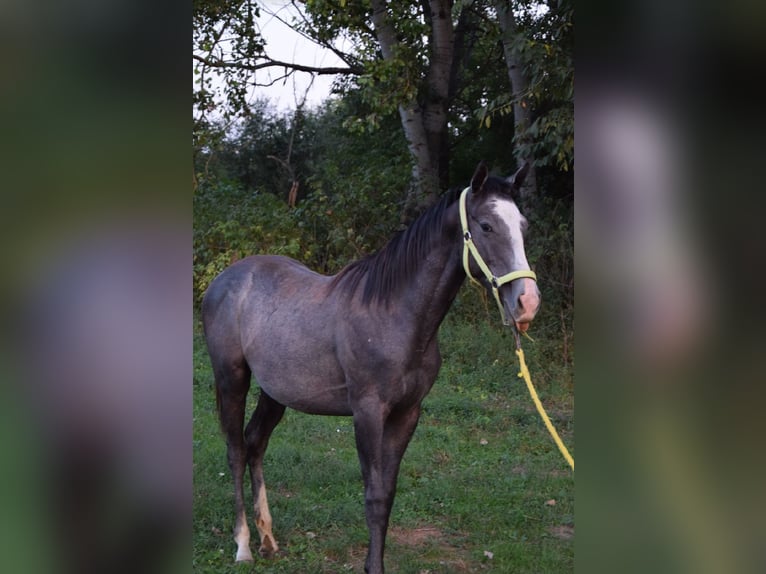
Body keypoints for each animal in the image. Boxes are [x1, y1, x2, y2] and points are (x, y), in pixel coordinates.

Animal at [201, 160, 544, 572]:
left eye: (523, 225)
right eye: (487, 226)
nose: (527, 303)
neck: (395, 314)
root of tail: (223, 280)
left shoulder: (407, 413)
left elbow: (388, 493)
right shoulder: (367, 412)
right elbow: (374, 494)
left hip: (275, 392)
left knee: (255, 443)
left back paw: (268, 539)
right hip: (231, 379)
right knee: (236, 450)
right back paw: (244, 545)